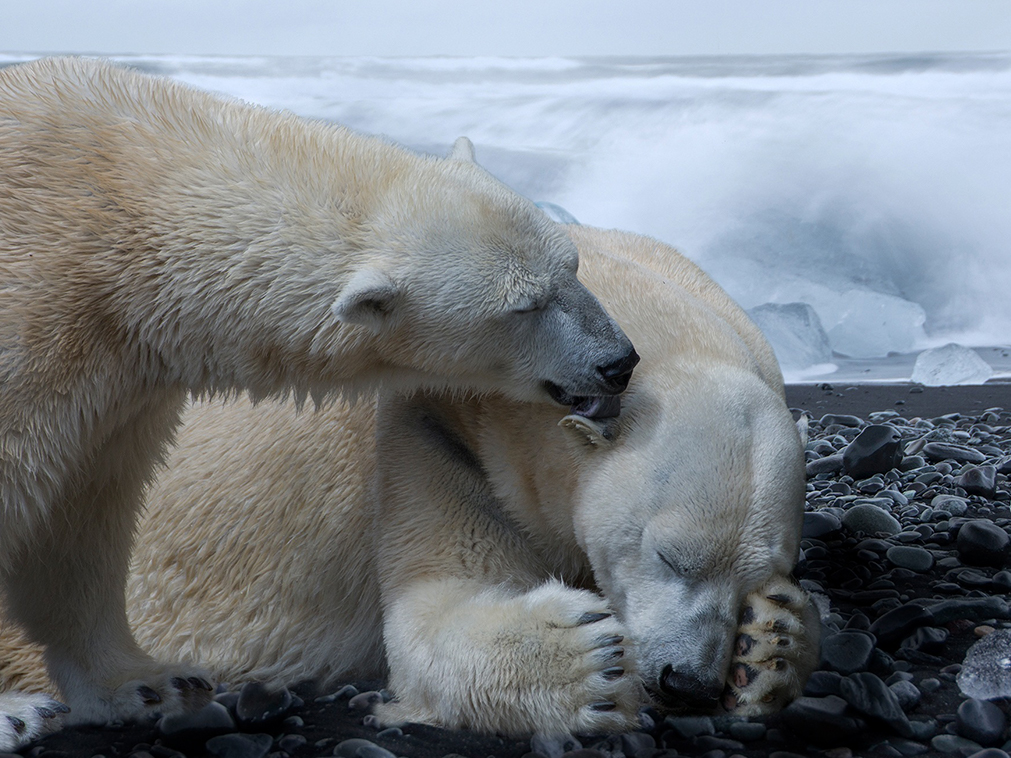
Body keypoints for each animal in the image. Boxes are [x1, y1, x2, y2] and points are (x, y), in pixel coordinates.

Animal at [0, 54, 634, 747]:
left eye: (573, 264)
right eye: (524, 305)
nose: (618, 361)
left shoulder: (119, 379)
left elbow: (84, 515)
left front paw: (144, 682)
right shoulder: (37, 315)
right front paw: (19, 712)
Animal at [1, 225, 820, 747]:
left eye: (762, 571)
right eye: (668, 556)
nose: (687, 681)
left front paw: (772, 643)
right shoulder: (432, 430)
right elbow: (439, 602)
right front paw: (586, 663)